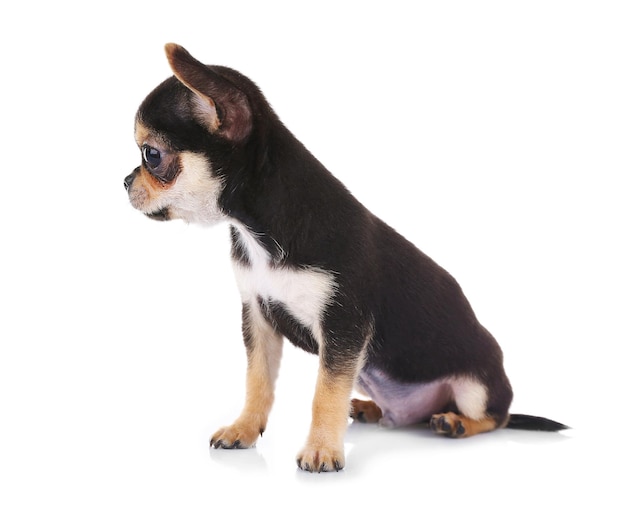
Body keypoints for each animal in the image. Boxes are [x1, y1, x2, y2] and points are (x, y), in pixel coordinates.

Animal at [124, 44, 564, 472]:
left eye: (151, 155)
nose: (125, 180)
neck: (258, 231)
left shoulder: (343, 327)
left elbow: (326, 391)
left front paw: (321, 449)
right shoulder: (258, 317)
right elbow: (258, 381)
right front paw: (244, 428)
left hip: (476, 386)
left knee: (495, 417)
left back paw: (455, 422)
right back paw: (372, 408)